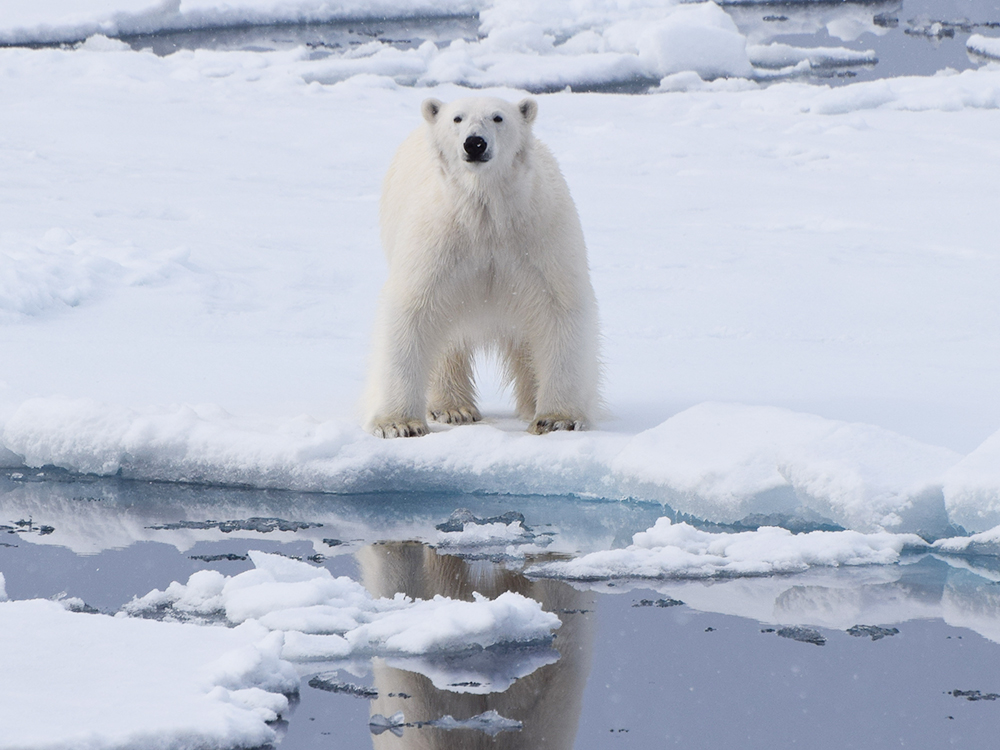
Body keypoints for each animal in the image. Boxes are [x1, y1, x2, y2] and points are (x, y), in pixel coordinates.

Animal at [368, 99, 600, 440]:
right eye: (457, 118)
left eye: (498, 117)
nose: (475, 143)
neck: (486, 211)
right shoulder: (439, 241)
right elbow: (413, 312)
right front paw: (398, 424)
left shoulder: (538, 238)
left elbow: (558, 309)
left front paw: (557, 419)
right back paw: (454, 407)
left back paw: (530, 403)